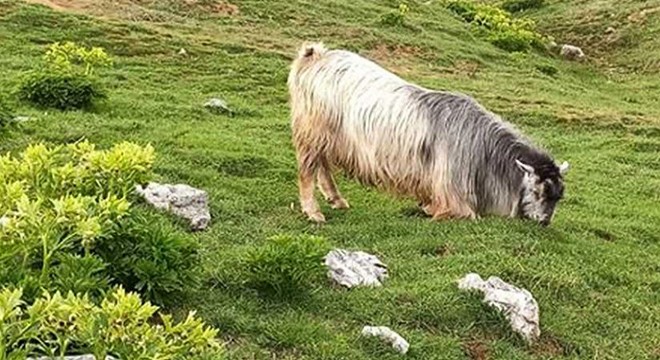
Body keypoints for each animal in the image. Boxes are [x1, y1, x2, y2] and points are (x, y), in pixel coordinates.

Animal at [286, 42, 568, 225]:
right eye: (538, 192)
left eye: (559, 196)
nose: (544, 221)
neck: (482, 147)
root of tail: (315, 56)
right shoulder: (453, 190)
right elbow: (461, 213)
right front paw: (431, 211)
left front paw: (424, 206)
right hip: (312, 129)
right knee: (307, 169)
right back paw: (314, 212)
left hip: (327, 136)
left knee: (322, 164)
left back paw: (337, 199)